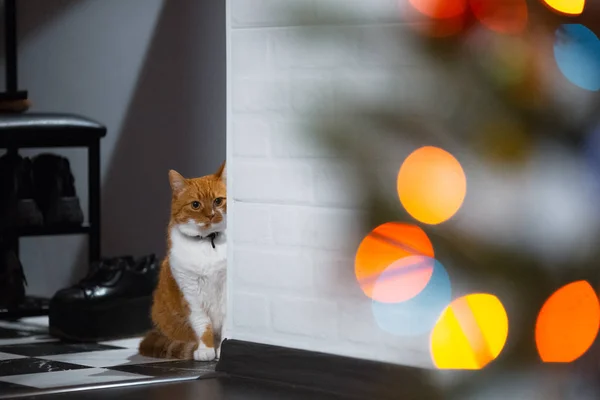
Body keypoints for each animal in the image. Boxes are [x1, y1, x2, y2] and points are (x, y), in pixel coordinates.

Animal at [138, 161, 227, 360]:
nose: (211, 214)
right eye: (195, 205)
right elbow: (203, 323)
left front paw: (223, 348)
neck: (207, 242)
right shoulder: (190, 291)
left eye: (218, 201)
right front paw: (206, 350)